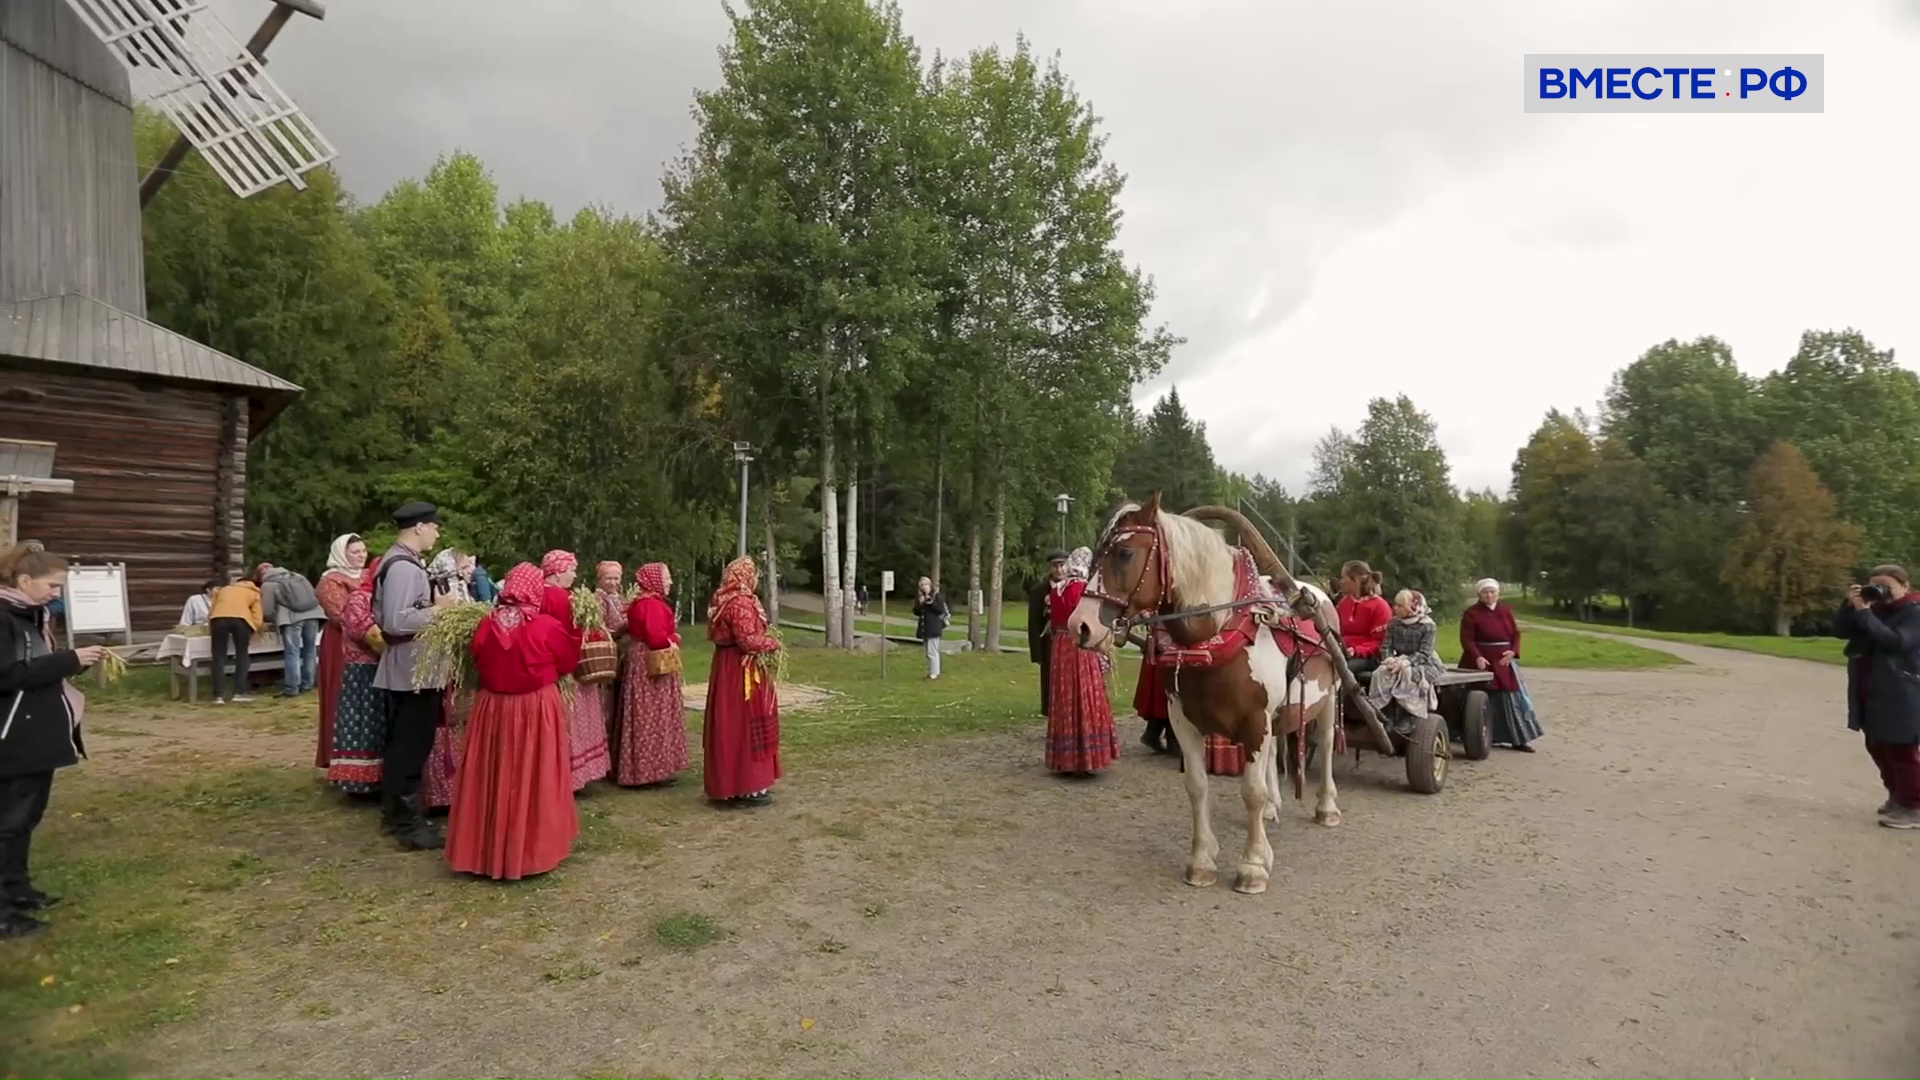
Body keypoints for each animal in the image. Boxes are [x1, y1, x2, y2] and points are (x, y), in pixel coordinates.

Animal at [1075, 495, 1390, 891]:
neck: (1219, 632)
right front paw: (1202, 859)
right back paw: (1272, 807)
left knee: (1329, 743)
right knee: (1274, 752)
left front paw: (1253, 864)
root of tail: (1321, 596)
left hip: (1329, 698)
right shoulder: (1184, 721)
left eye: (1125, 552)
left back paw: (1326, 807)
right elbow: (1197, 786)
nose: (1080, 625)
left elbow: (1250, 791)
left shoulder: (1254, 722)